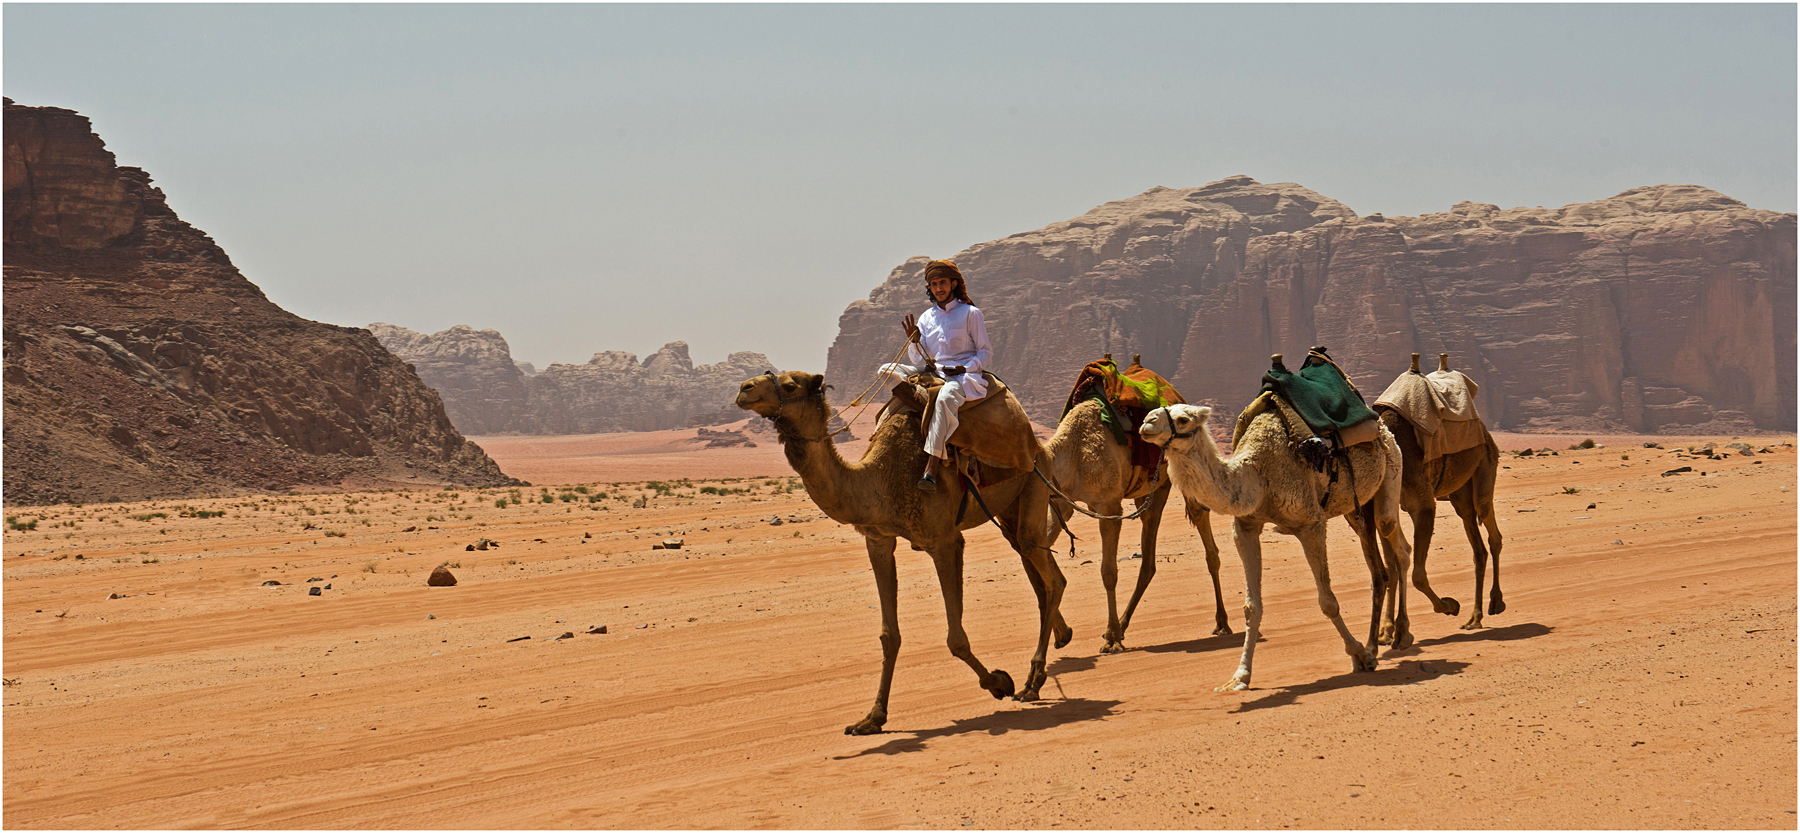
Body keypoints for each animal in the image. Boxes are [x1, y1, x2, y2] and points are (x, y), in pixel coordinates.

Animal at [734, 372, 1065, 737]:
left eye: (791, 385)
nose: (744, 389)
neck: (879, 479)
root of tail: (1036, 443)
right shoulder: (878, 540)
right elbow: (888, 635)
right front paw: (872, 718)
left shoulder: (944, 541)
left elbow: (956, 639)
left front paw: (998, 683)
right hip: (1008, 511)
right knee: (1039, 570)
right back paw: (1057, 645)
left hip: (1036, 478)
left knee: (1048, 573)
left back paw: (1032, 683)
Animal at [1044, 397, 1238, 651]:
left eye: (1182, 420)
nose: (1149, 422)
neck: (1072, 453)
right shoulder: (1060, 501)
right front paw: (1063, 634)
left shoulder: (1109, 506)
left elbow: (1108, 572)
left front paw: (1111, 639)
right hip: (1156, 487)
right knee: (1148, 558)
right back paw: (1123, 625)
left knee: (1206, 538)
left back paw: (1222, 622)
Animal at [1137, 401, 1418, 694]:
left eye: (1182, 419)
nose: (1147, 423)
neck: (1257, 475)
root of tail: (1380, 424)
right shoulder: (1245, 527)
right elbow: (1252, 607)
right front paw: (1239, 677)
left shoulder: (1311, 523)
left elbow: (1328, 602)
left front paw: (1361, 656)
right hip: (1355, 508)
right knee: (1380, 565)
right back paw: (1377, 642)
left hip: (1392, 464)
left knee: (1397, 541)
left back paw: (1401, 635)